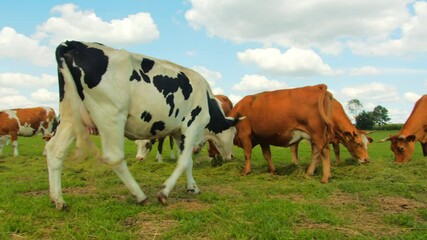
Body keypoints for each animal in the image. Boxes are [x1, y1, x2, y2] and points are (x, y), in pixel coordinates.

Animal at [47, 40, 241, 209]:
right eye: (233, 134)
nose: (231, 156)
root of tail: (74, 44)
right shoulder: (193, 125)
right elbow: (184, 161)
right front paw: (164, 193)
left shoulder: (179, 133)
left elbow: (187, 161)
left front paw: (192, 187)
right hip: (110, 115)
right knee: (113, 157)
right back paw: (140, 195)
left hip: (72, 117)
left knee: (54, 150)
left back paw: (58, 200)